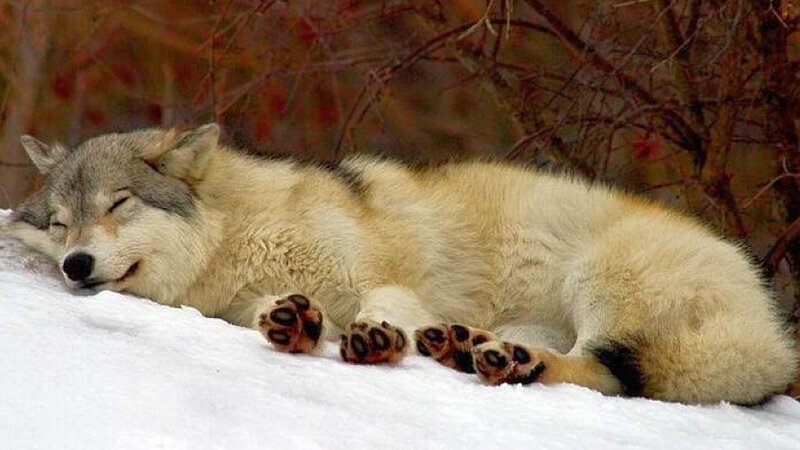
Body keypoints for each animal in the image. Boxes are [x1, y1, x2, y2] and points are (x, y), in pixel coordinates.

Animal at [2, 123, 797, 405]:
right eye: (60, 222)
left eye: (119, 203)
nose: (75, 264)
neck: (239, 236)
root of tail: (772, 331)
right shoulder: (256, 296)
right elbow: (273, 313)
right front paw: (294, 325)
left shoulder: (384, 280)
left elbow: (382, 306)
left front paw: (376, 339)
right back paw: (466, 348)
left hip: (598, 283)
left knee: (603, 371)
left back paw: (507, 361)